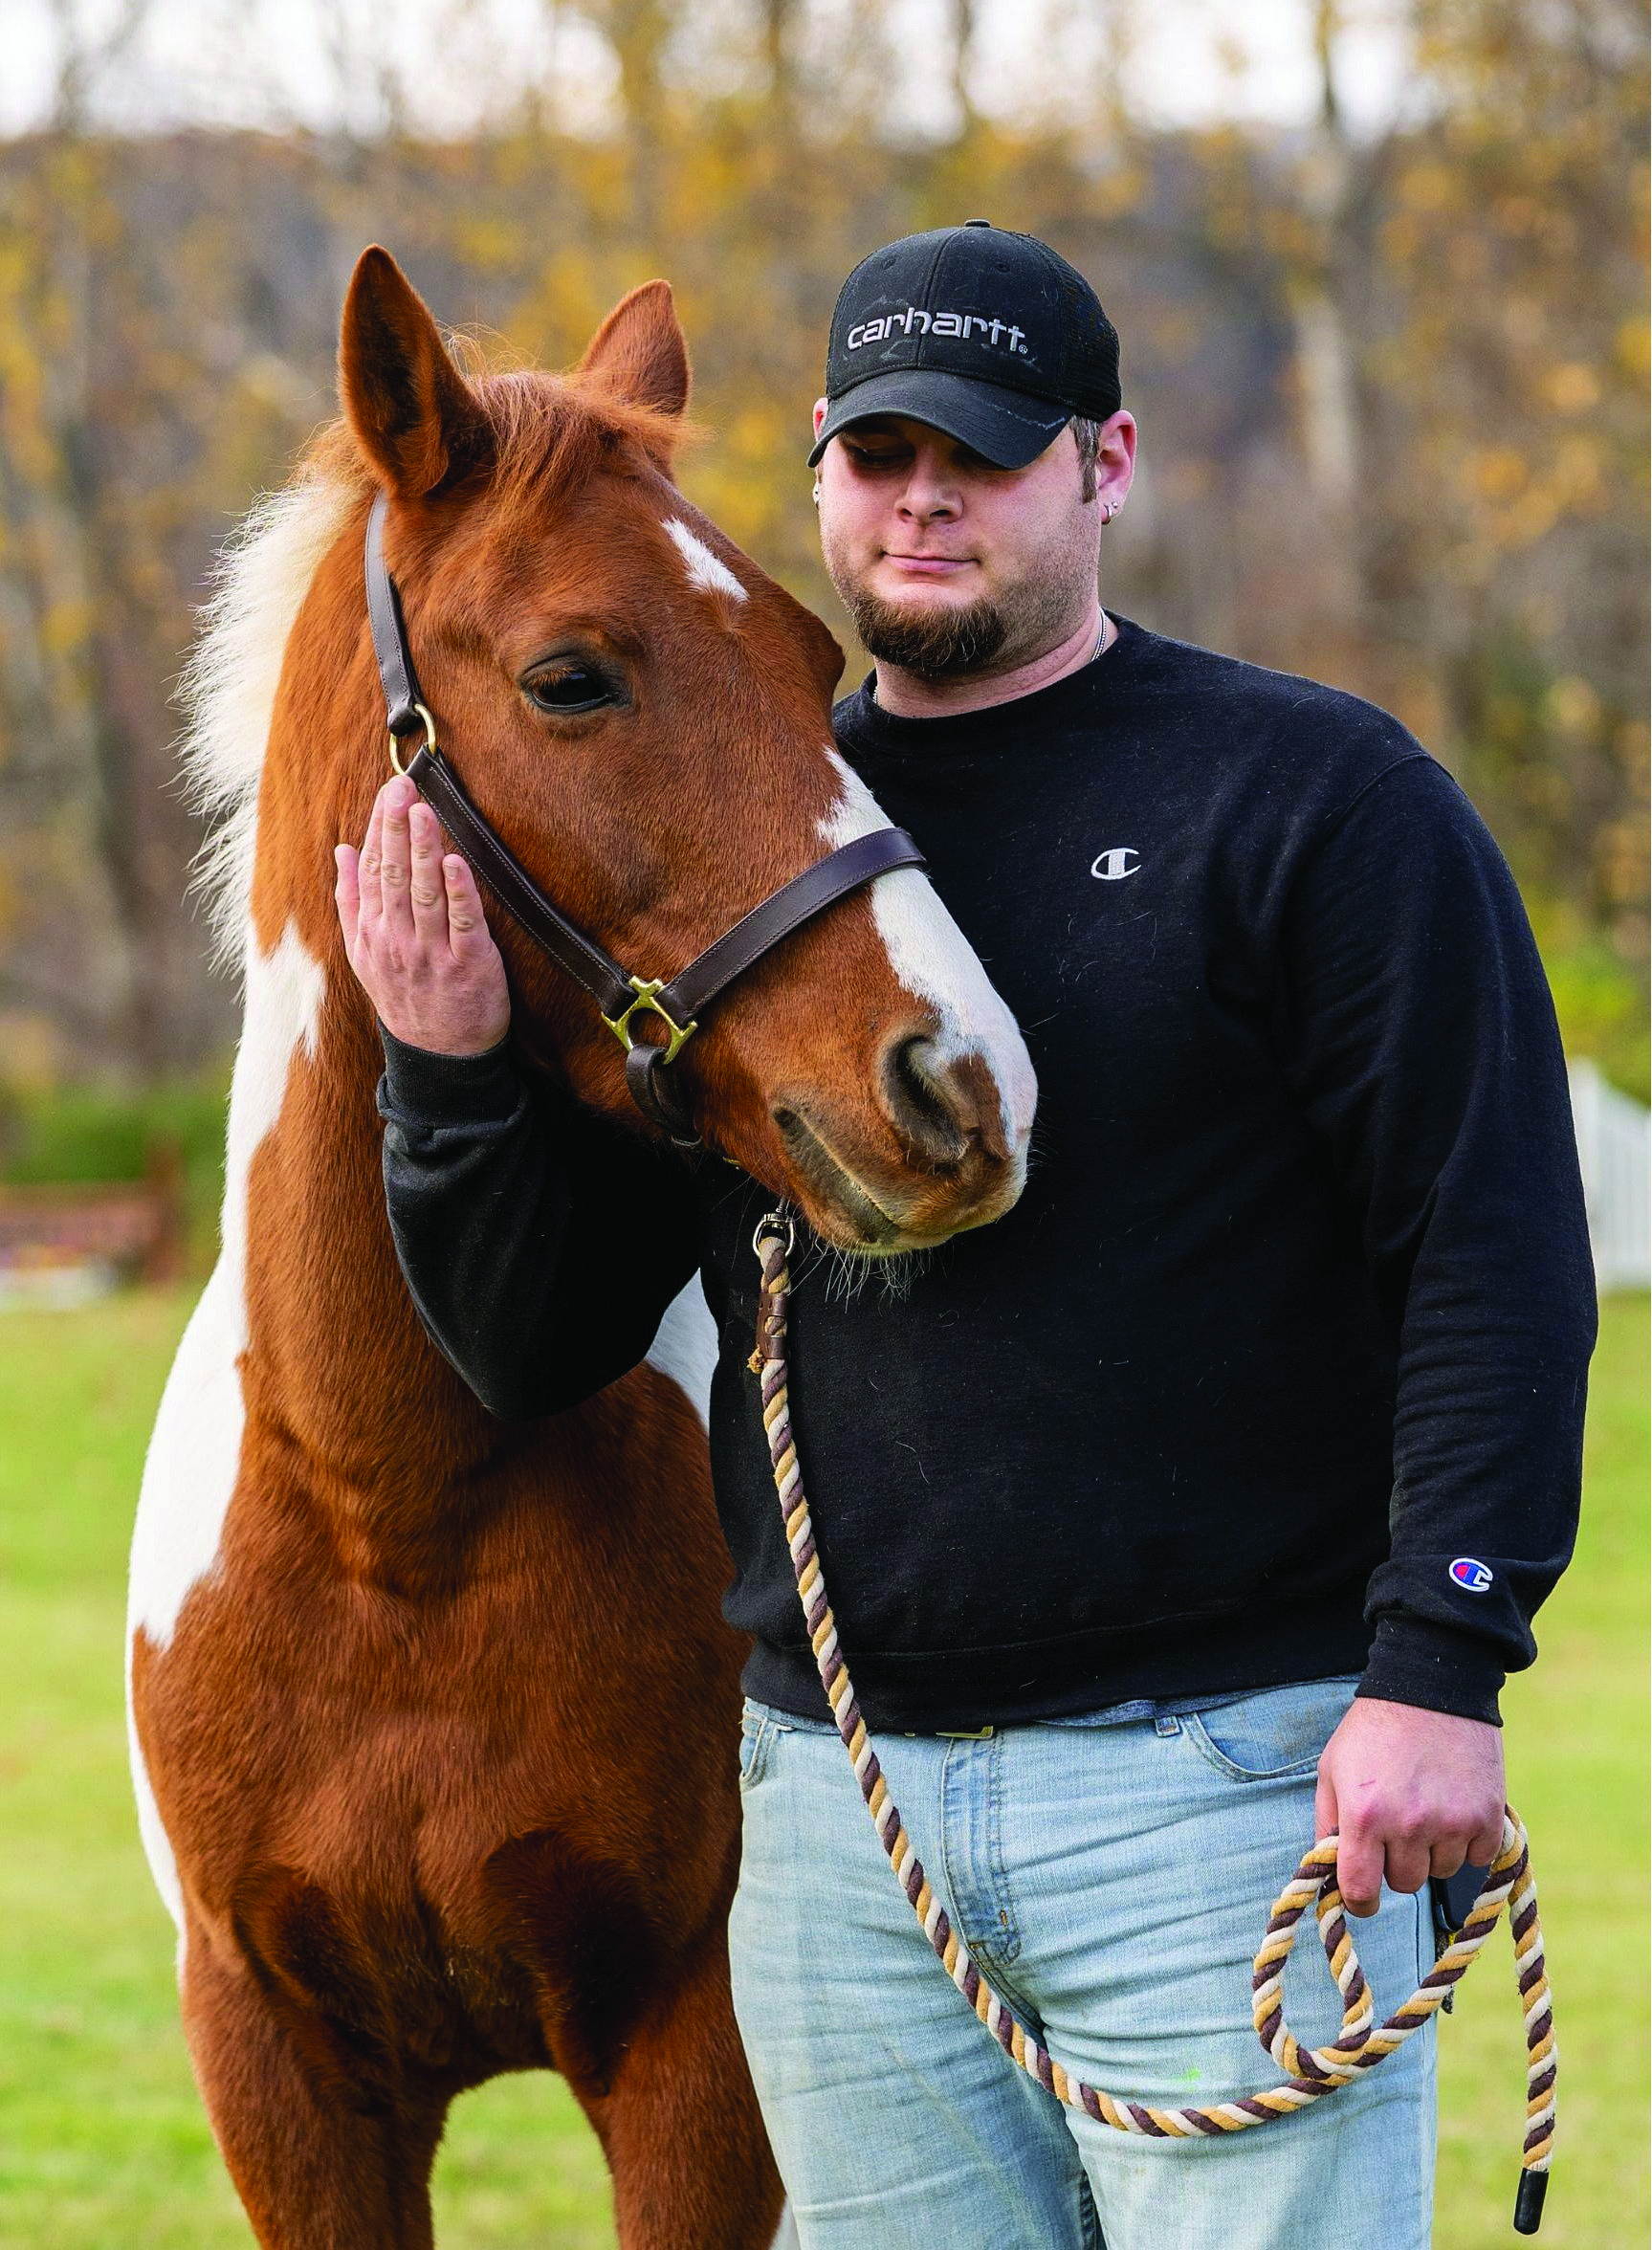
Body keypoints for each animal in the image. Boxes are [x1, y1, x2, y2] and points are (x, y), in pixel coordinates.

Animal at [129, 251, 1035, 2250]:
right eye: (570, 677)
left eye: (812, 665)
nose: (961, 1081)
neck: (384, 1509)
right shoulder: (278, 2076)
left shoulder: (696, 2062)